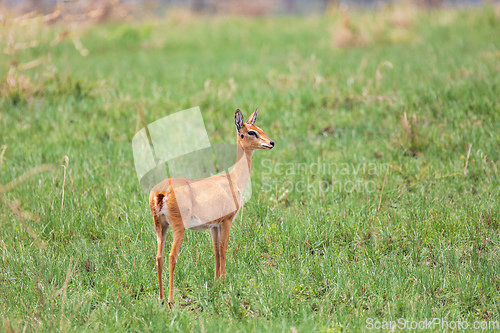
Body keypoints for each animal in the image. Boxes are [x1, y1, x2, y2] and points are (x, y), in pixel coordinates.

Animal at [148, 107, 274, 304]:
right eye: (250, 132)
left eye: (259, 128)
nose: (271, 143)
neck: (233, 180)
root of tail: (161, 192)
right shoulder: (227, 221)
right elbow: (223, 249)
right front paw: (223, 282)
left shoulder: (213, 226)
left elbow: (215, 251)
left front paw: (216, 281)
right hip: (178, 229)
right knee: (171, 256)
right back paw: (171, 300)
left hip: (161, 227)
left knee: (159, 256)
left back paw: (160, 298)